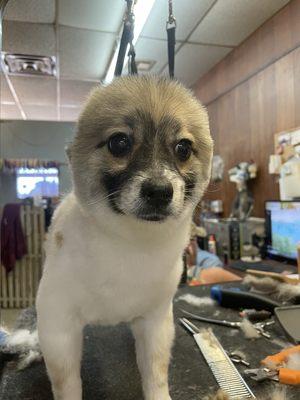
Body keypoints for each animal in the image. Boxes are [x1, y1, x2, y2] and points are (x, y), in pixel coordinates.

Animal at [37, 76, 213, 400]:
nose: (159, 191)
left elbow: (155, 373)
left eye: (183, 148)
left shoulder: (155, 321)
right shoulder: (58, 325)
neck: (131, 243)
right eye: (119, 143)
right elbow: (67, 381)